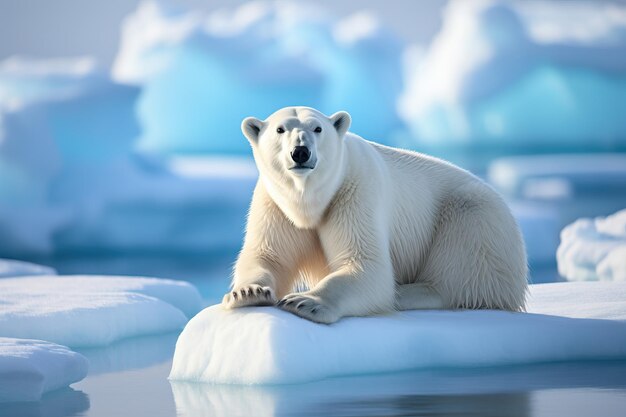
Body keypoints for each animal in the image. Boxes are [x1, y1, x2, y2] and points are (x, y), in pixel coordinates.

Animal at [221, 105, 528, 324]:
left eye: (318, 128)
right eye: (280, 129)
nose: (300, 152)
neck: (311, 200)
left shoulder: (355, 190)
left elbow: (367, 265)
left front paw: (304, 301)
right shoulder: (274, 203)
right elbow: (268, 255)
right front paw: (248, 292)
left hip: (476, 214)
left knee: (464, 260)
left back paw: (405, 293)